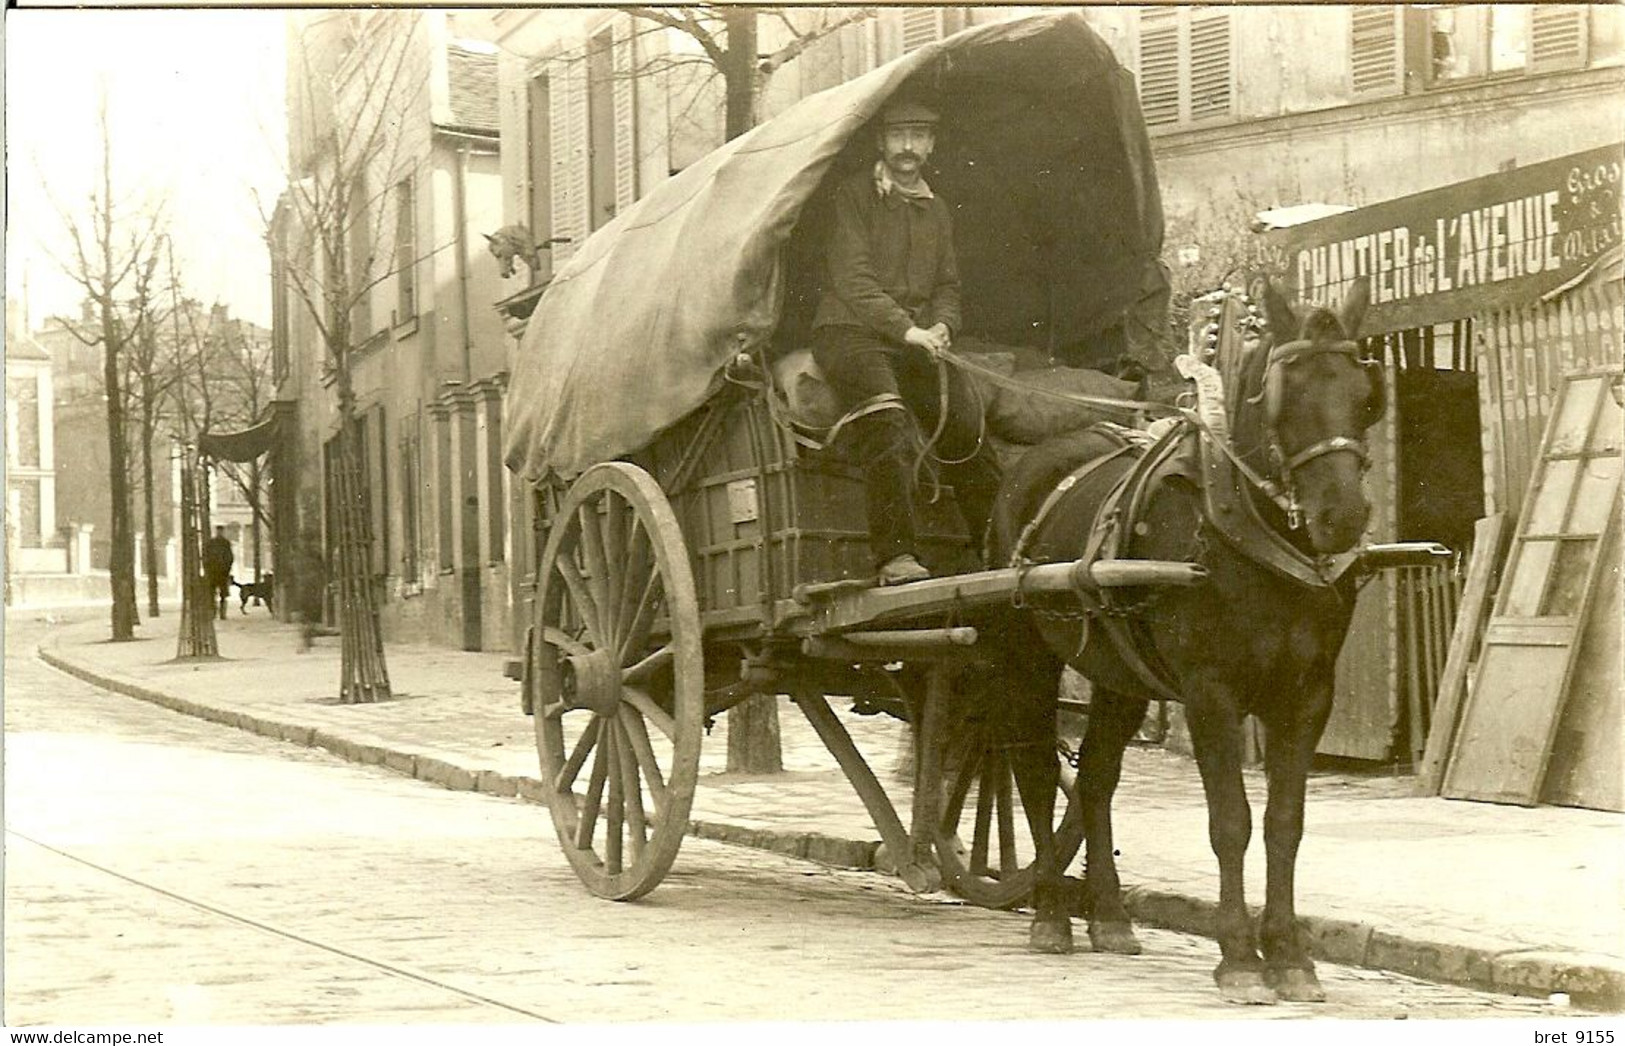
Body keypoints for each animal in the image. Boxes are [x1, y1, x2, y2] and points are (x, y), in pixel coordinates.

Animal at [981, 279, 1391, 1007]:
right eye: (1281, 398)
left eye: (1365, 394)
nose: (1341, 517)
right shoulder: (1210, 693)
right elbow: (1231, 821)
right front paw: (1240, 959)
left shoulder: (1309, 695)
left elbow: (1285, 824)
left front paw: (1290, 957)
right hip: (1022, 655)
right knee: (1033, 772)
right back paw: (1051, 912)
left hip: (1118, 672)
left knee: (1095, 781)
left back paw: (1109, 918)